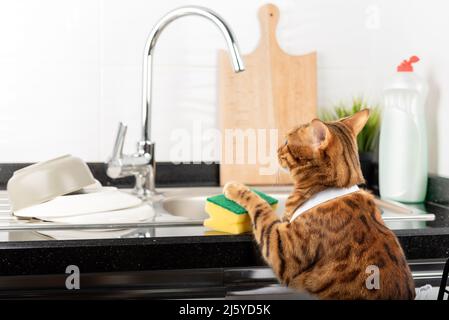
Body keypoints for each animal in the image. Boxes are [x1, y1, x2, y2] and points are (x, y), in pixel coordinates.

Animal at [222, 110, 414, 300]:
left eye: (287, 142)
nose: (276, 150)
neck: (331, 188)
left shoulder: (280, 247)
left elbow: (260, 206)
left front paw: (234, 187)